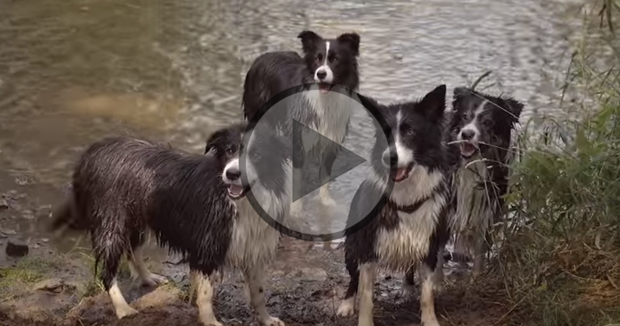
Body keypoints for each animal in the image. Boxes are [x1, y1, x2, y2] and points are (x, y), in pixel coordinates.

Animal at [336, 84, 452, 326]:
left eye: (411, 132)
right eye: (384, 133)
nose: (389, 157)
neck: (405, 199)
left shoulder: (428, 246)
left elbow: (427, 295)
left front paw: (430, 320)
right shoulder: (367, 248)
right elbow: (366, 297)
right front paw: (364, 320)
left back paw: (407, 287)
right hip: (352, 245)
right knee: (353, 279)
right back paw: (346, 304)